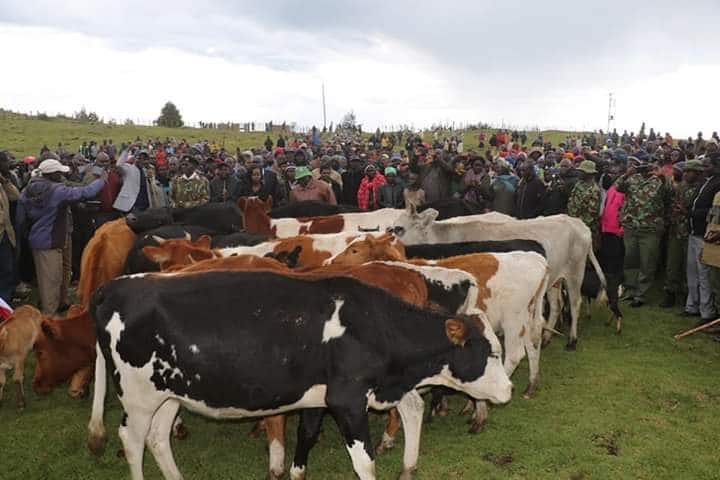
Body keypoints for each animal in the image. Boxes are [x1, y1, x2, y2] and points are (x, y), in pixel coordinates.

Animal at [87, 272, 512, 478]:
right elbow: (366, 461)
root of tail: (117, 286)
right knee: (132, 440)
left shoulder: (318, 397)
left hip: (169, 393)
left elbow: (306, 438)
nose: (508, 388)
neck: (372, 325)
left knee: (158, 438)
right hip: (137, 397)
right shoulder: (347, 400)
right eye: (489, 351)